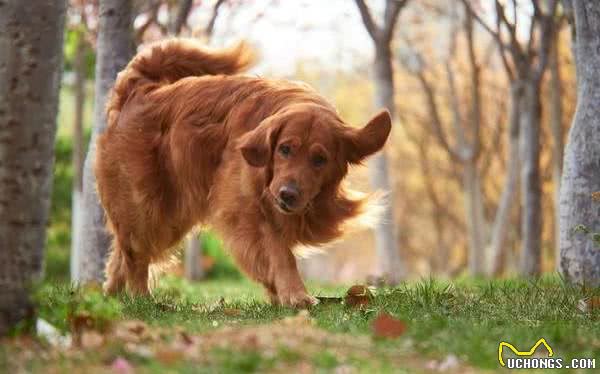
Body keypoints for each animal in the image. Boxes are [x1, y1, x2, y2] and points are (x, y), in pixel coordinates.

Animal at [96, 38, 392, 306]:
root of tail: (140, 91)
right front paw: (295, 295)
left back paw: (112, 296)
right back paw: (141, 297)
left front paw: (279, 294)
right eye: (284, 149)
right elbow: (279, 252)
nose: (287, 195)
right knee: (135, 254)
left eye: (320, 159)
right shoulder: (245, 211)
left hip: (169, 215)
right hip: (148, 207)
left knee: (122, 254)